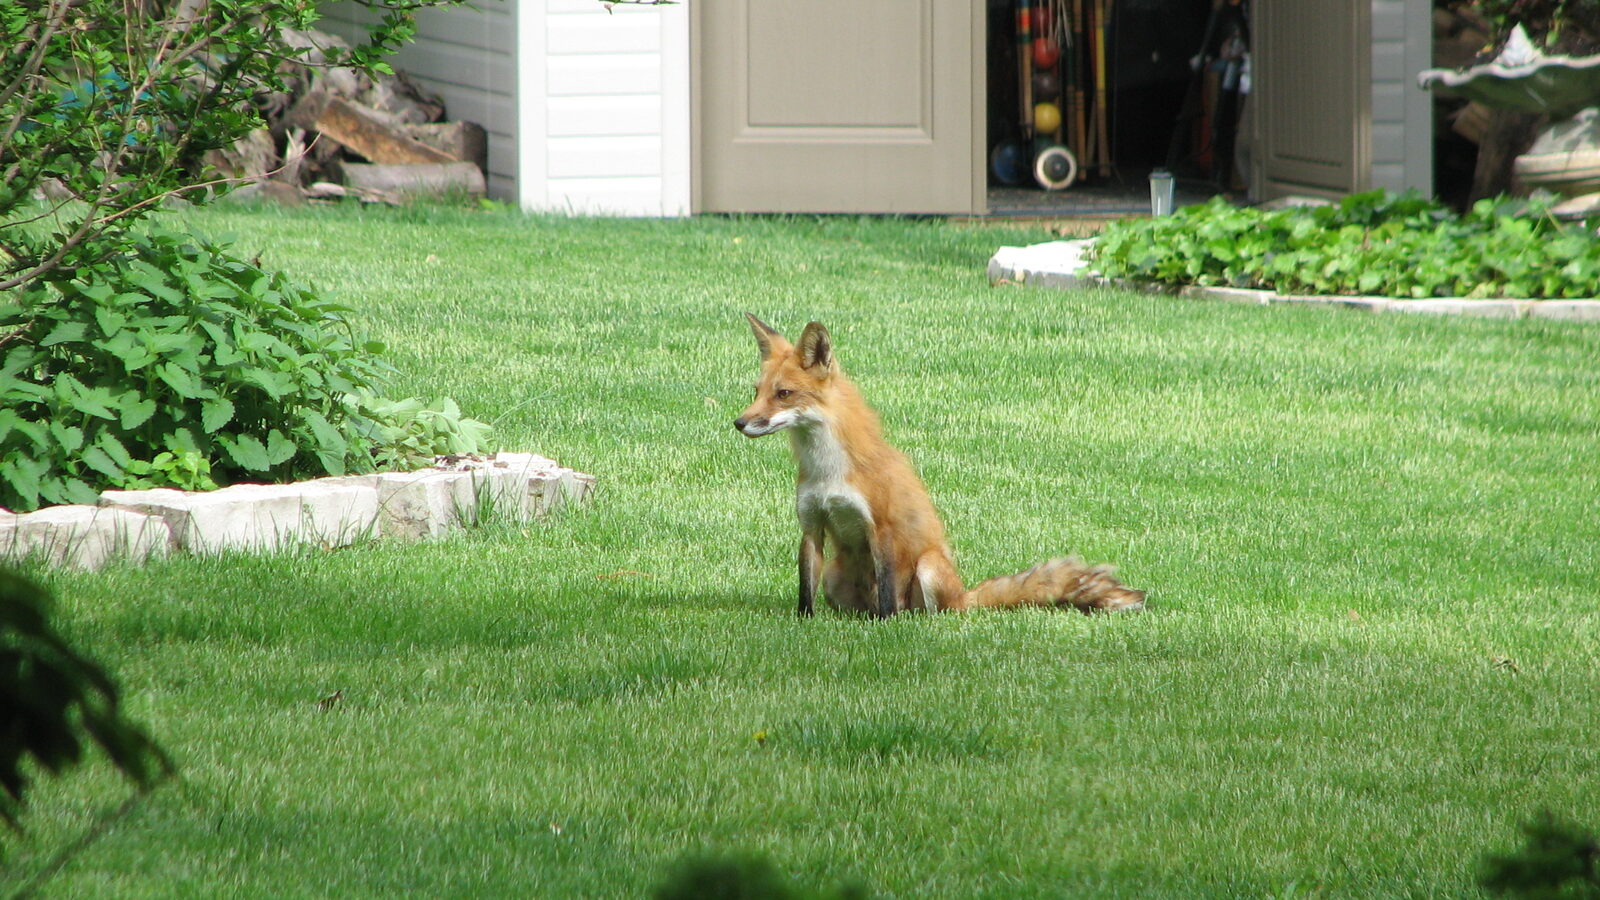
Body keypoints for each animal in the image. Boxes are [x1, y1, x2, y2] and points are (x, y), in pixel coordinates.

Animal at [734, 314, 1145, 618]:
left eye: (784, 394)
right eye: (757, 392)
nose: (739, 423)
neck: (828, 471)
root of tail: (964, 597)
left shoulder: (880, 528)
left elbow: (887, 595)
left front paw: (885, 627)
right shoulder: (812, 526)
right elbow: (805, 590)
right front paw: (804, 623)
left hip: (929, 568)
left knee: (928, 611)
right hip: (836, 574)